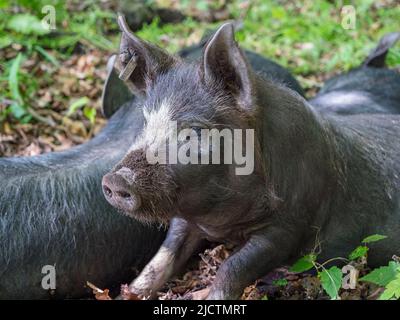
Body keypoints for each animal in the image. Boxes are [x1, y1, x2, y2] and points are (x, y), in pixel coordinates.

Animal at [102, 23, 400, 300]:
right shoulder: (185, 216)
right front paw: (130, 292)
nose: (115, 179)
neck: (221, 223)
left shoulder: (289, 225)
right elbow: (162, 257)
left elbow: (234, 267)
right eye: (145, 121)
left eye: (196, 130)